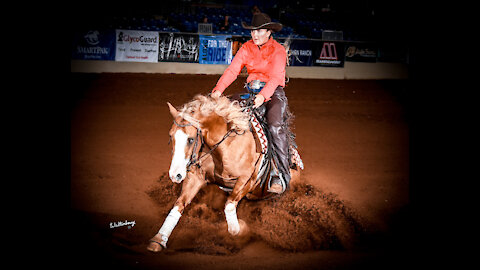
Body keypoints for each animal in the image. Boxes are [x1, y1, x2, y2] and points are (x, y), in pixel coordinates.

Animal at [147, 94, 304, 252]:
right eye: (170, 136)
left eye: (191, 139)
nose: (175, 175)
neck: (227, 145)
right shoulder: (196, 176)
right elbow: (179, 205)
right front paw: (159, 239)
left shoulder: (247, 180)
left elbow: (229, 206)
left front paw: (238, 232)